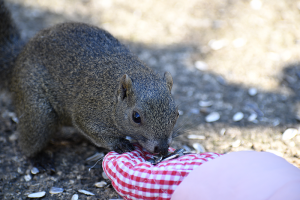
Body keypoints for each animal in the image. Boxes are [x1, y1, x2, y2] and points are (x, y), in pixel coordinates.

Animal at [0, 0, 178, 157]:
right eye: (136, 117)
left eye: (176, 114)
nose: (162, 149)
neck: (111, 99)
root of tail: (17, 59)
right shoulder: (88, 108)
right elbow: (88, 127)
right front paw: (119, 143)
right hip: (37, 109)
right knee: (30, 142)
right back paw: (39, 158)